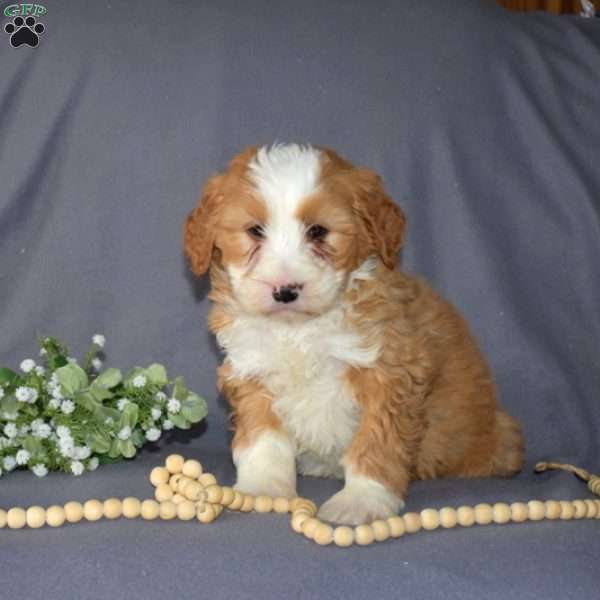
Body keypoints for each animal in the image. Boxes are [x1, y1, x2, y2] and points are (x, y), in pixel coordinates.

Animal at [184, 143, 524, 524]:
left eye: (318, 231)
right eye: (255, 231)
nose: (285, 291)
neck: (299, 328)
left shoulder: (389, 372)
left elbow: (376, 440)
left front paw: (361, 500)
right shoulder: (254, 370)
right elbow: (263, 439)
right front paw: (262, 488)